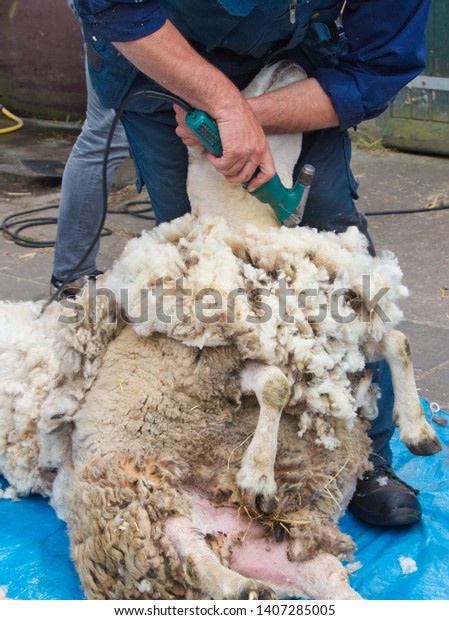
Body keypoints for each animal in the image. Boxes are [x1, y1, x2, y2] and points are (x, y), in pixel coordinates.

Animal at [0, 60, 440, 600]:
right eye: (243, 87)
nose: (287, 61)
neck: (244, 218)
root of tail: (230, 537)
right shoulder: (211, 362)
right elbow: (277, 384)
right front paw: (258, 477)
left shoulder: (334, 330)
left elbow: (399, 342)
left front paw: (419, 431)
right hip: (140, 507)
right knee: (193, 562)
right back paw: (241, 585)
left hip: (294, 554)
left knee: (327, 585)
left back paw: (261, 579)